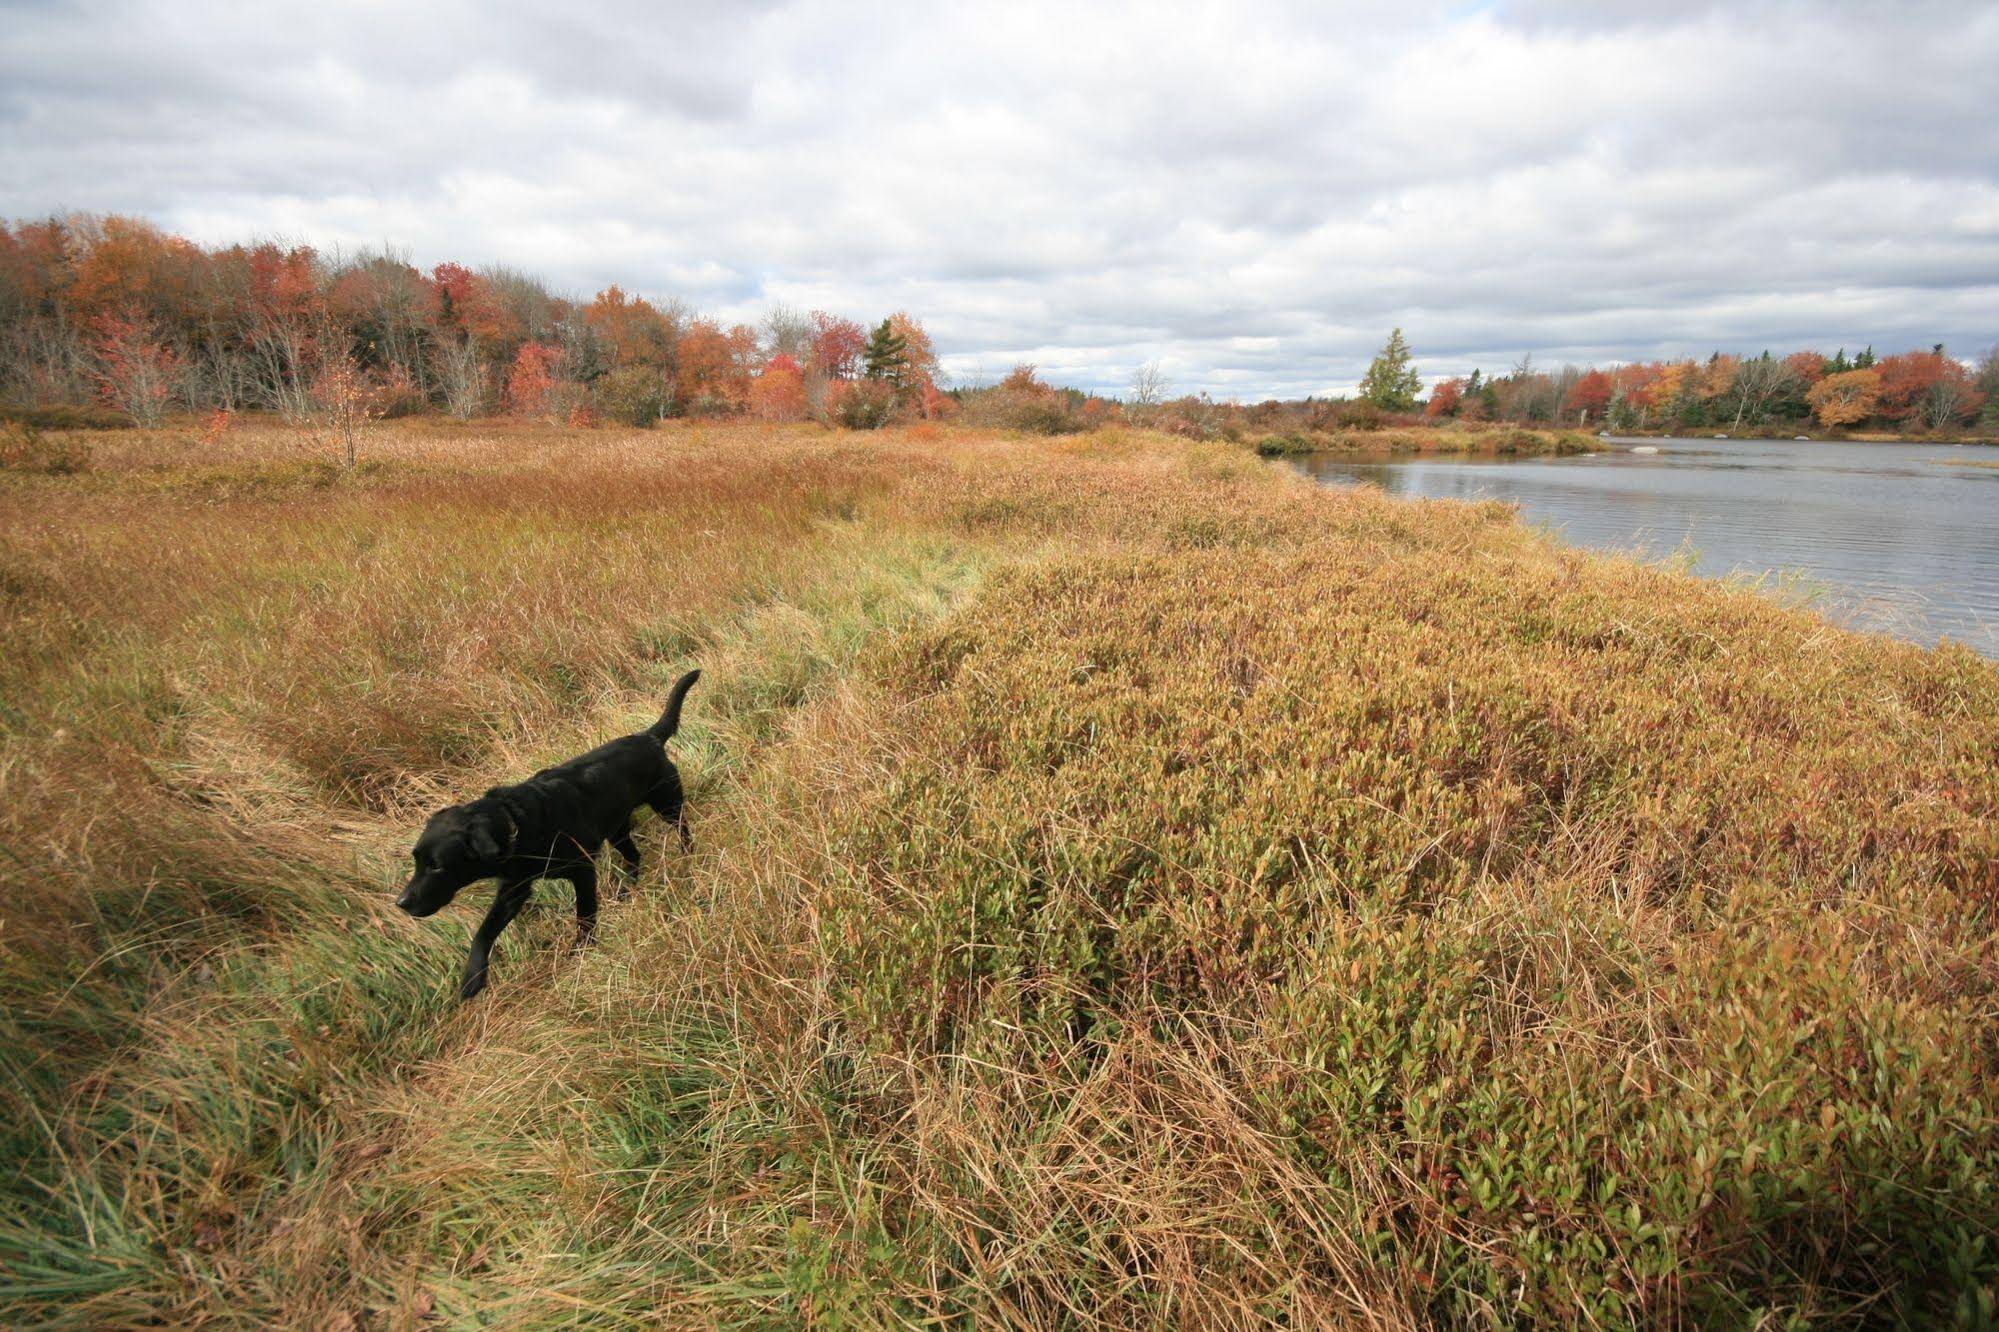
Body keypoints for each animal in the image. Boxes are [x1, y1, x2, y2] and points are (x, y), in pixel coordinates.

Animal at [393, 668, 699, 992]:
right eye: (417, 860)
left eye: (437, 866)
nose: (401, 903)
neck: (517, 823)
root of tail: (648, 737)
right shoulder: (513, 889)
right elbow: (484, 931)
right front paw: (472, 976)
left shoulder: (582, 870)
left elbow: (585, 914)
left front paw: (582, 950)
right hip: (617, 828)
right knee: (634, 856)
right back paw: (627, 889)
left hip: (667, 802)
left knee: (682, 829)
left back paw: (687, 857)